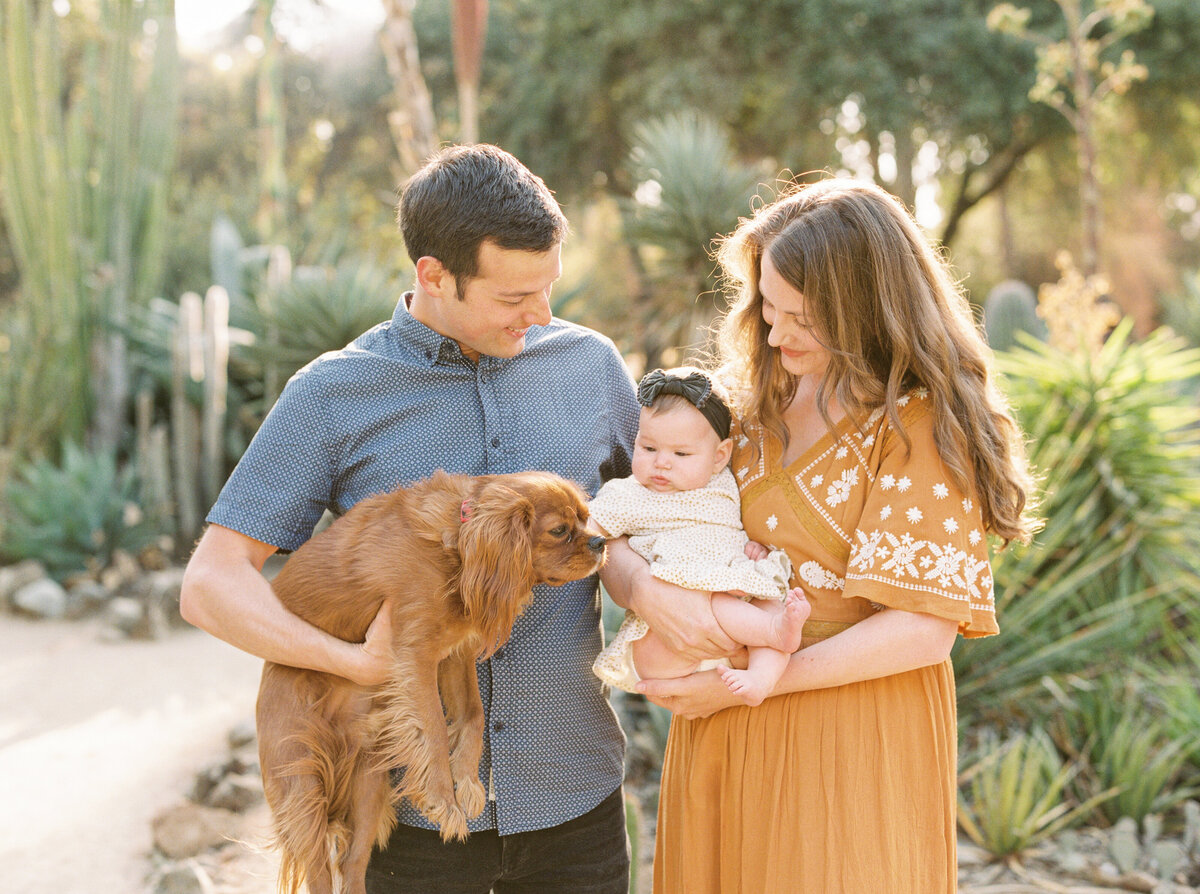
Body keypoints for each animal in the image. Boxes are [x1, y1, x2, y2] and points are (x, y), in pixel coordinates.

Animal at [256, 468, 604, 892]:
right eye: (559, 531)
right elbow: (435, 728)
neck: (456, 543)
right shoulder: (414, 657)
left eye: (586, 519)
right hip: (302, 782)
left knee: (352, 863)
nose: (601, 541)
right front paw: (444, 801)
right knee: (319, 868)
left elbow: (473, 715)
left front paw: (468, 783)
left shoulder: (454, 654)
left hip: (370, 784)